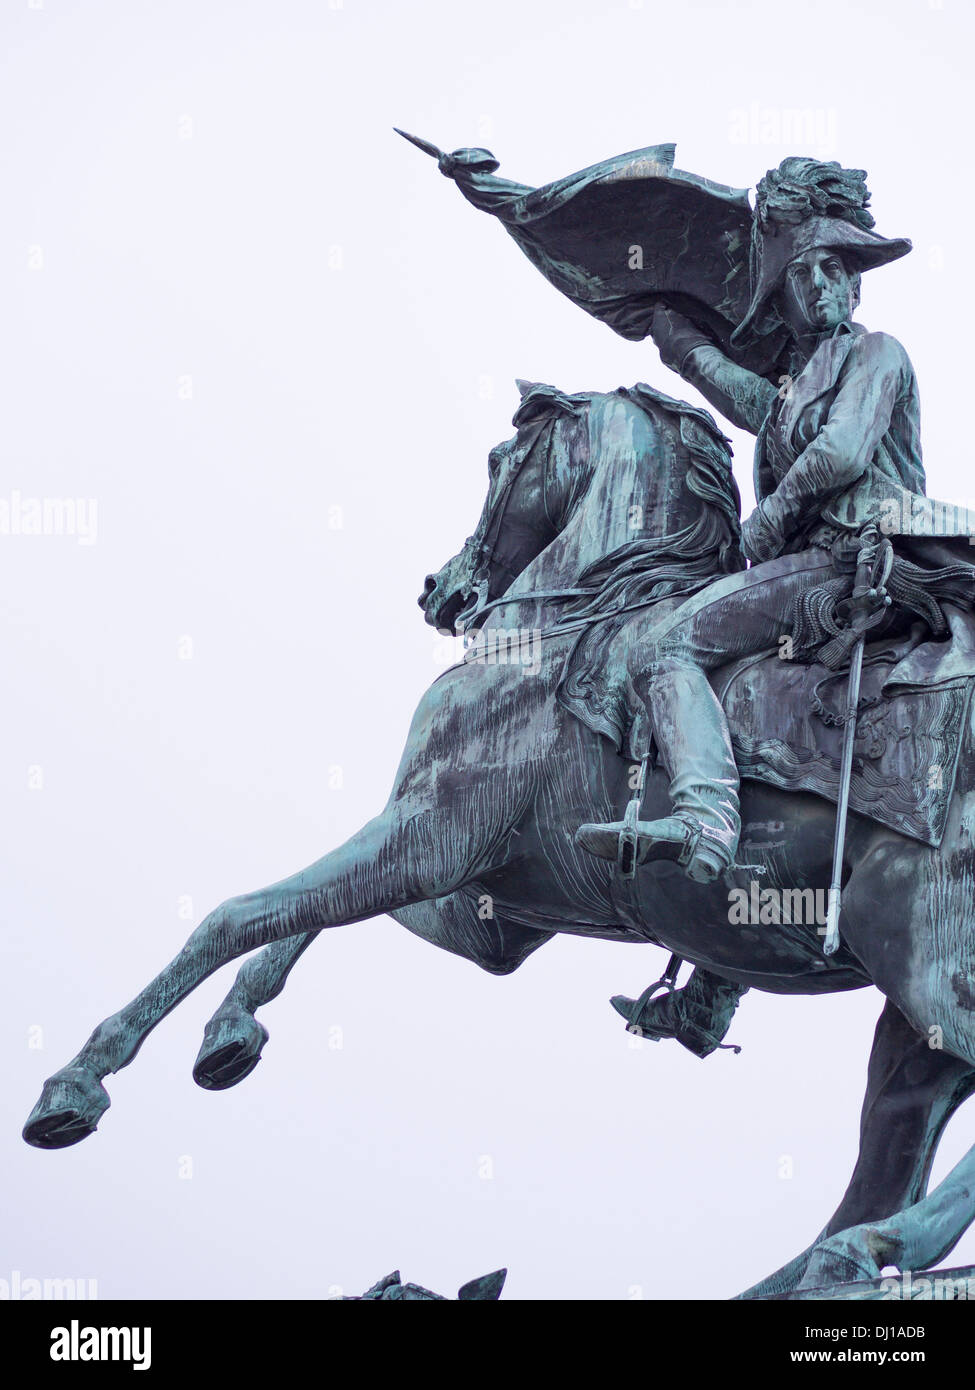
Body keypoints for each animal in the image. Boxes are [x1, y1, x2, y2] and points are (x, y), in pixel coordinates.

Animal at [20, 378, 973, 1289]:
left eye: (493, 461)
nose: (438, 590)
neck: (564, 635)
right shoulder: (485, 902)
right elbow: (298, 922)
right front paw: (229, 1032)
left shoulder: (429, 836)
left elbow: (239, 913)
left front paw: (77, 1083)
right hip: (905, 1022)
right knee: (892, 1144)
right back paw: (821, 1262)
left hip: (916, 951)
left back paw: (865, 1248)